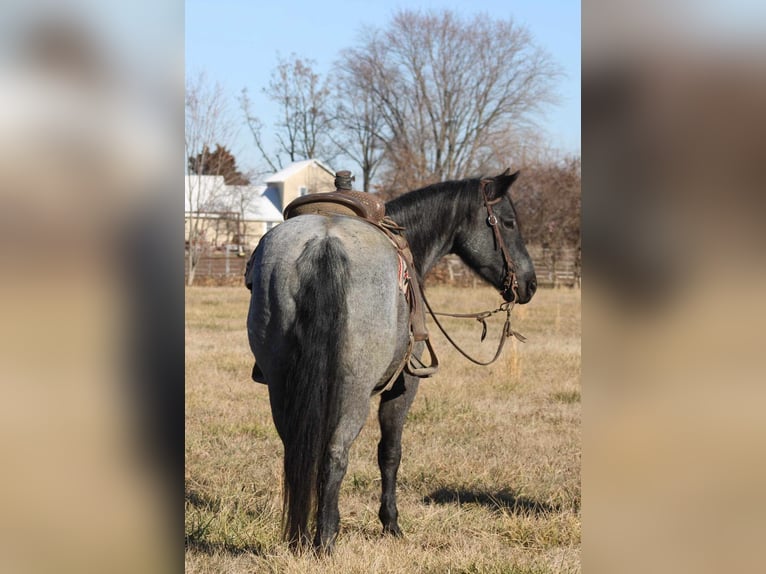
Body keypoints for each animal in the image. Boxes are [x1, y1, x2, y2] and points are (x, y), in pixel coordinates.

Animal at [249, 170, 536, 552]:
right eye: (508, 222)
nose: (530, 284)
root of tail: (324, 244)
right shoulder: (404, 385)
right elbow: (390, 452)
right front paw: (391, 523)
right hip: (354, 392)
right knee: (336, 454)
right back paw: (326, 538)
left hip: (283, 388)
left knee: (297, 451)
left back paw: (300, 537)